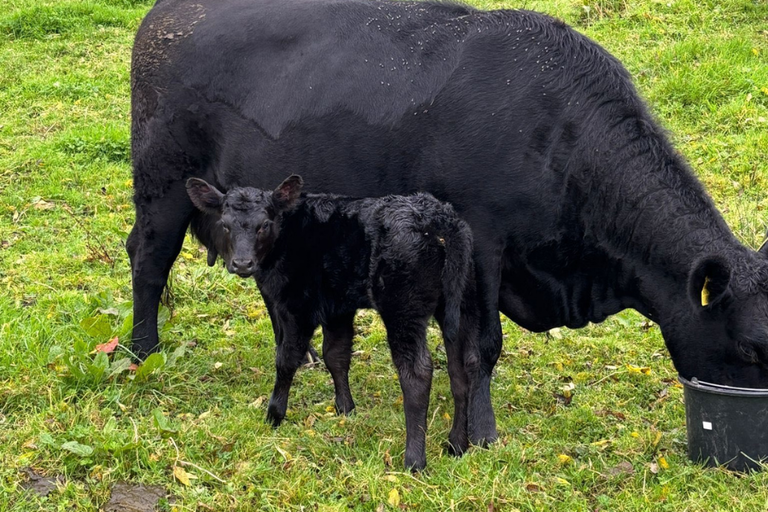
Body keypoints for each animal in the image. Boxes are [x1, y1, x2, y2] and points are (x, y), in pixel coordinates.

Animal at [185, 175, 474, 470]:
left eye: (264, 224)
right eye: (225, 224)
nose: (242, 264)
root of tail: (435, 216)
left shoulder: (297, 306)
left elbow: (286, 359)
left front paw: (274, 415)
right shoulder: (338, 307)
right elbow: (336, 355)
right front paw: (345, 408)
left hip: (403, 308)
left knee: (417, 373)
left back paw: (414, 460)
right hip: (458, 305)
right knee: (460, 368)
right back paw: (457, 444)